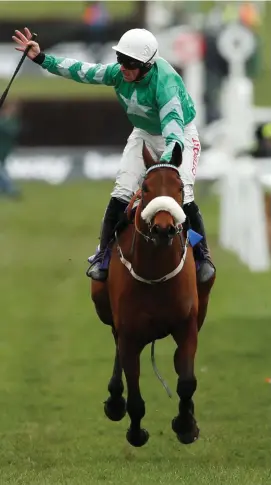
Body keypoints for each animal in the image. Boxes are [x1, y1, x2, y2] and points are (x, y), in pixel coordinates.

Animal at [91, 142, 217, 448]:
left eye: (180, 189)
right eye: (146, 188)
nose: (163, 227)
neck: (155, 274)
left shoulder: (187, 326)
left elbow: (187, 381)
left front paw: (186, 425)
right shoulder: (129, 332)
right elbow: (135, 395)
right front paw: (136, 433)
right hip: (104, 308)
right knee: (116, 346)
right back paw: (115, 401)